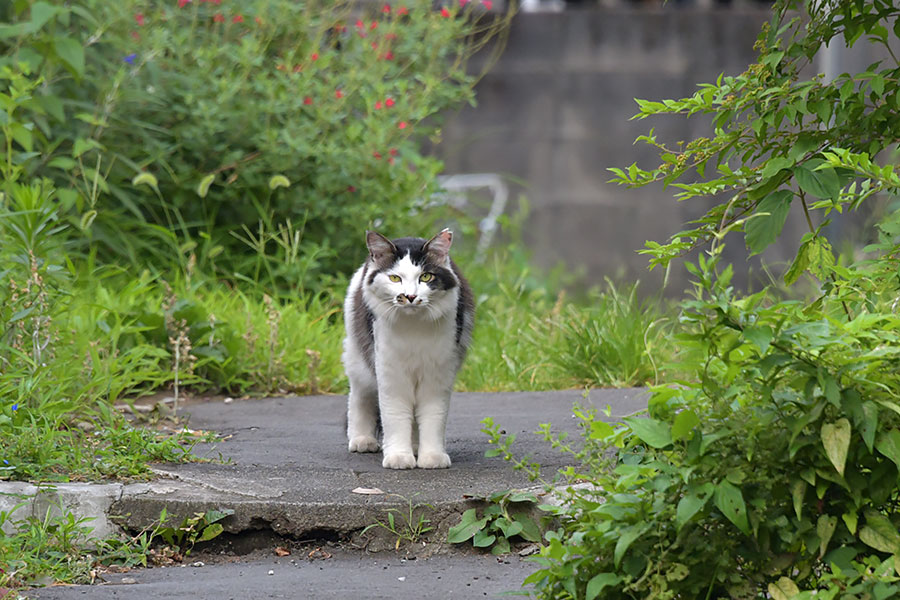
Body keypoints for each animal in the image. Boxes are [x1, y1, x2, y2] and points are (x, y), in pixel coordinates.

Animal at [342, 230, 474, 468]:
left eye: (426, 277)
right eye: (395, 278)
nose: (410, 296)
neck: (414, 329)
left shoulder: (437, 376)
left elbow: (432, 417)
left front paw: (431, 457)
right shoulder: (391, 375)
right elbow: (395, 416)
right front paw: (398, 457)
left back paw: (414, 447)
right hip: (359, 362)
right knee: (359, 398)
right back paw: (362, 439)